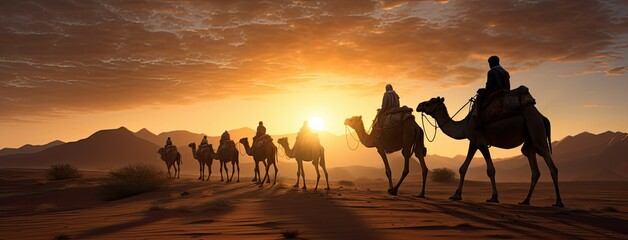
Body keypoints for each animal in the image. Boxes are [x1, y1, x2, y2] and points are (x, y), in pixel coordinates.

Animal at [418, 96, 564, 207]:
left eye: (429, 103)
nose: (418, 105)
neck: (465, 124)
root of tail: (542, 117)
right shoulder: (473, 142)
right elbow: (463, 168)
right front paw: (456, 195)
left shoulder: (481, 142)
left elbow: (490, 170)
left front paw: (493, 197)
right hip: (530, 140)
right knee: (533, 165)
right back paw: (525, 200)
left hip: (536, 128)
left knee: (551, 165)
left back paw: (558, 202)